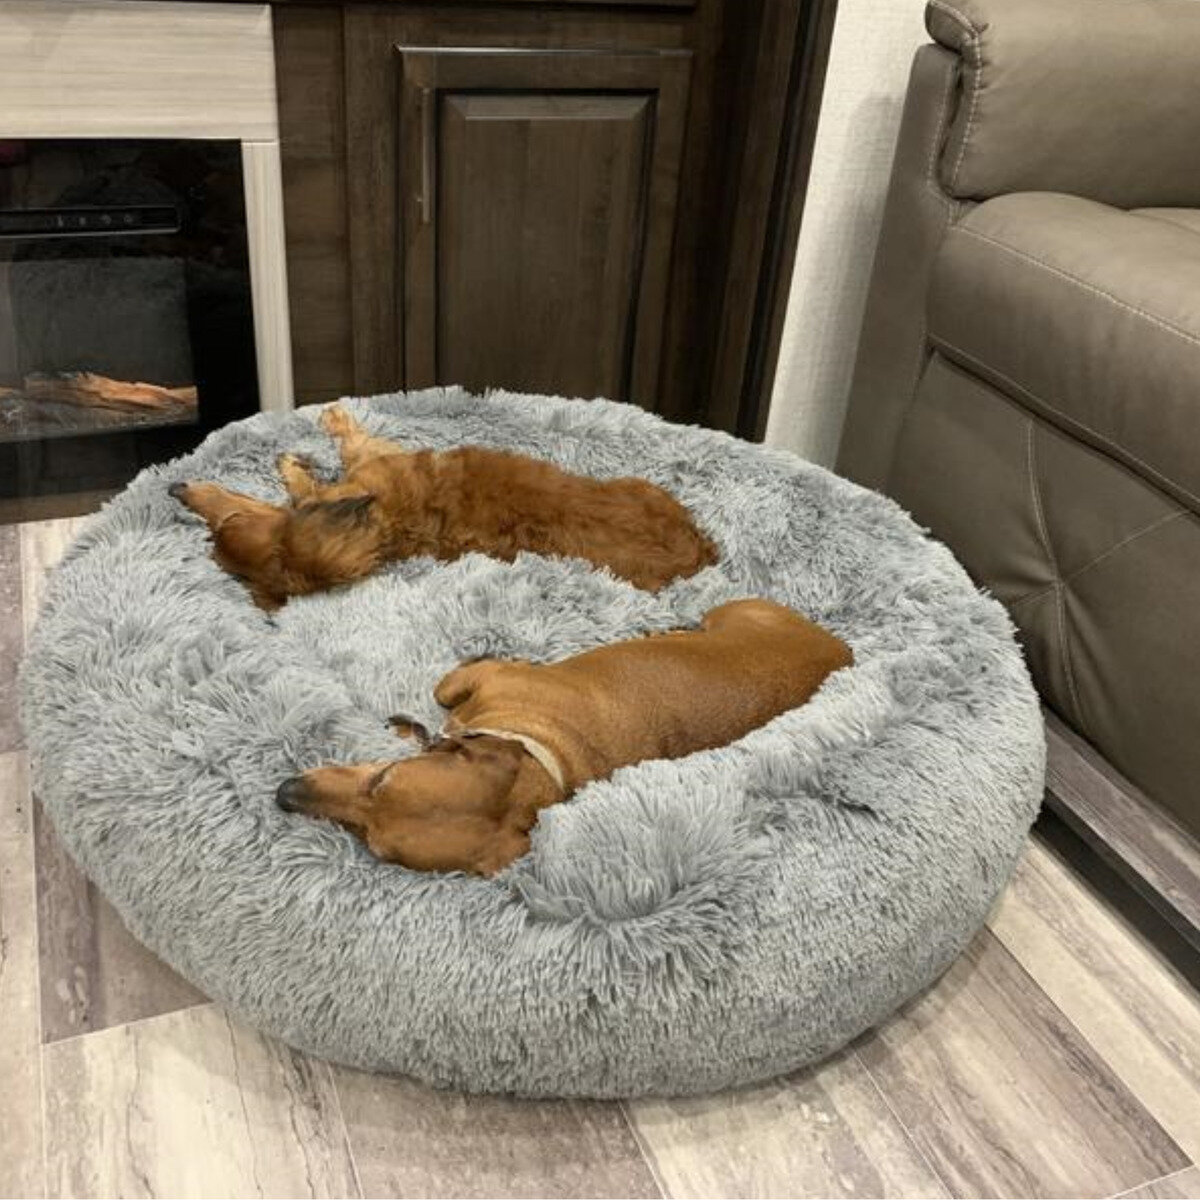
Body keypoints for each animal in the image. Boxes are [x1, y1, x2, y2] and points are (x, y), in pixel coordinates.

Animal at [168, 405, 710, 609]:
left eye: (233, 519)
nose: (177, 488)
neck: (387, 528)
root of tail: (703, 554)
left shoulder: (369, 464)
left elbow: (337, 455)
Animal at [274, 597, 854, 873]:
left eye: (374, 845)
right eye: (385, 777)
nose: (284, 794)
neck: (540, 755)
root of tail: (840, 648)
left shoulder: (491, 678)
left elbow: (444, 690)